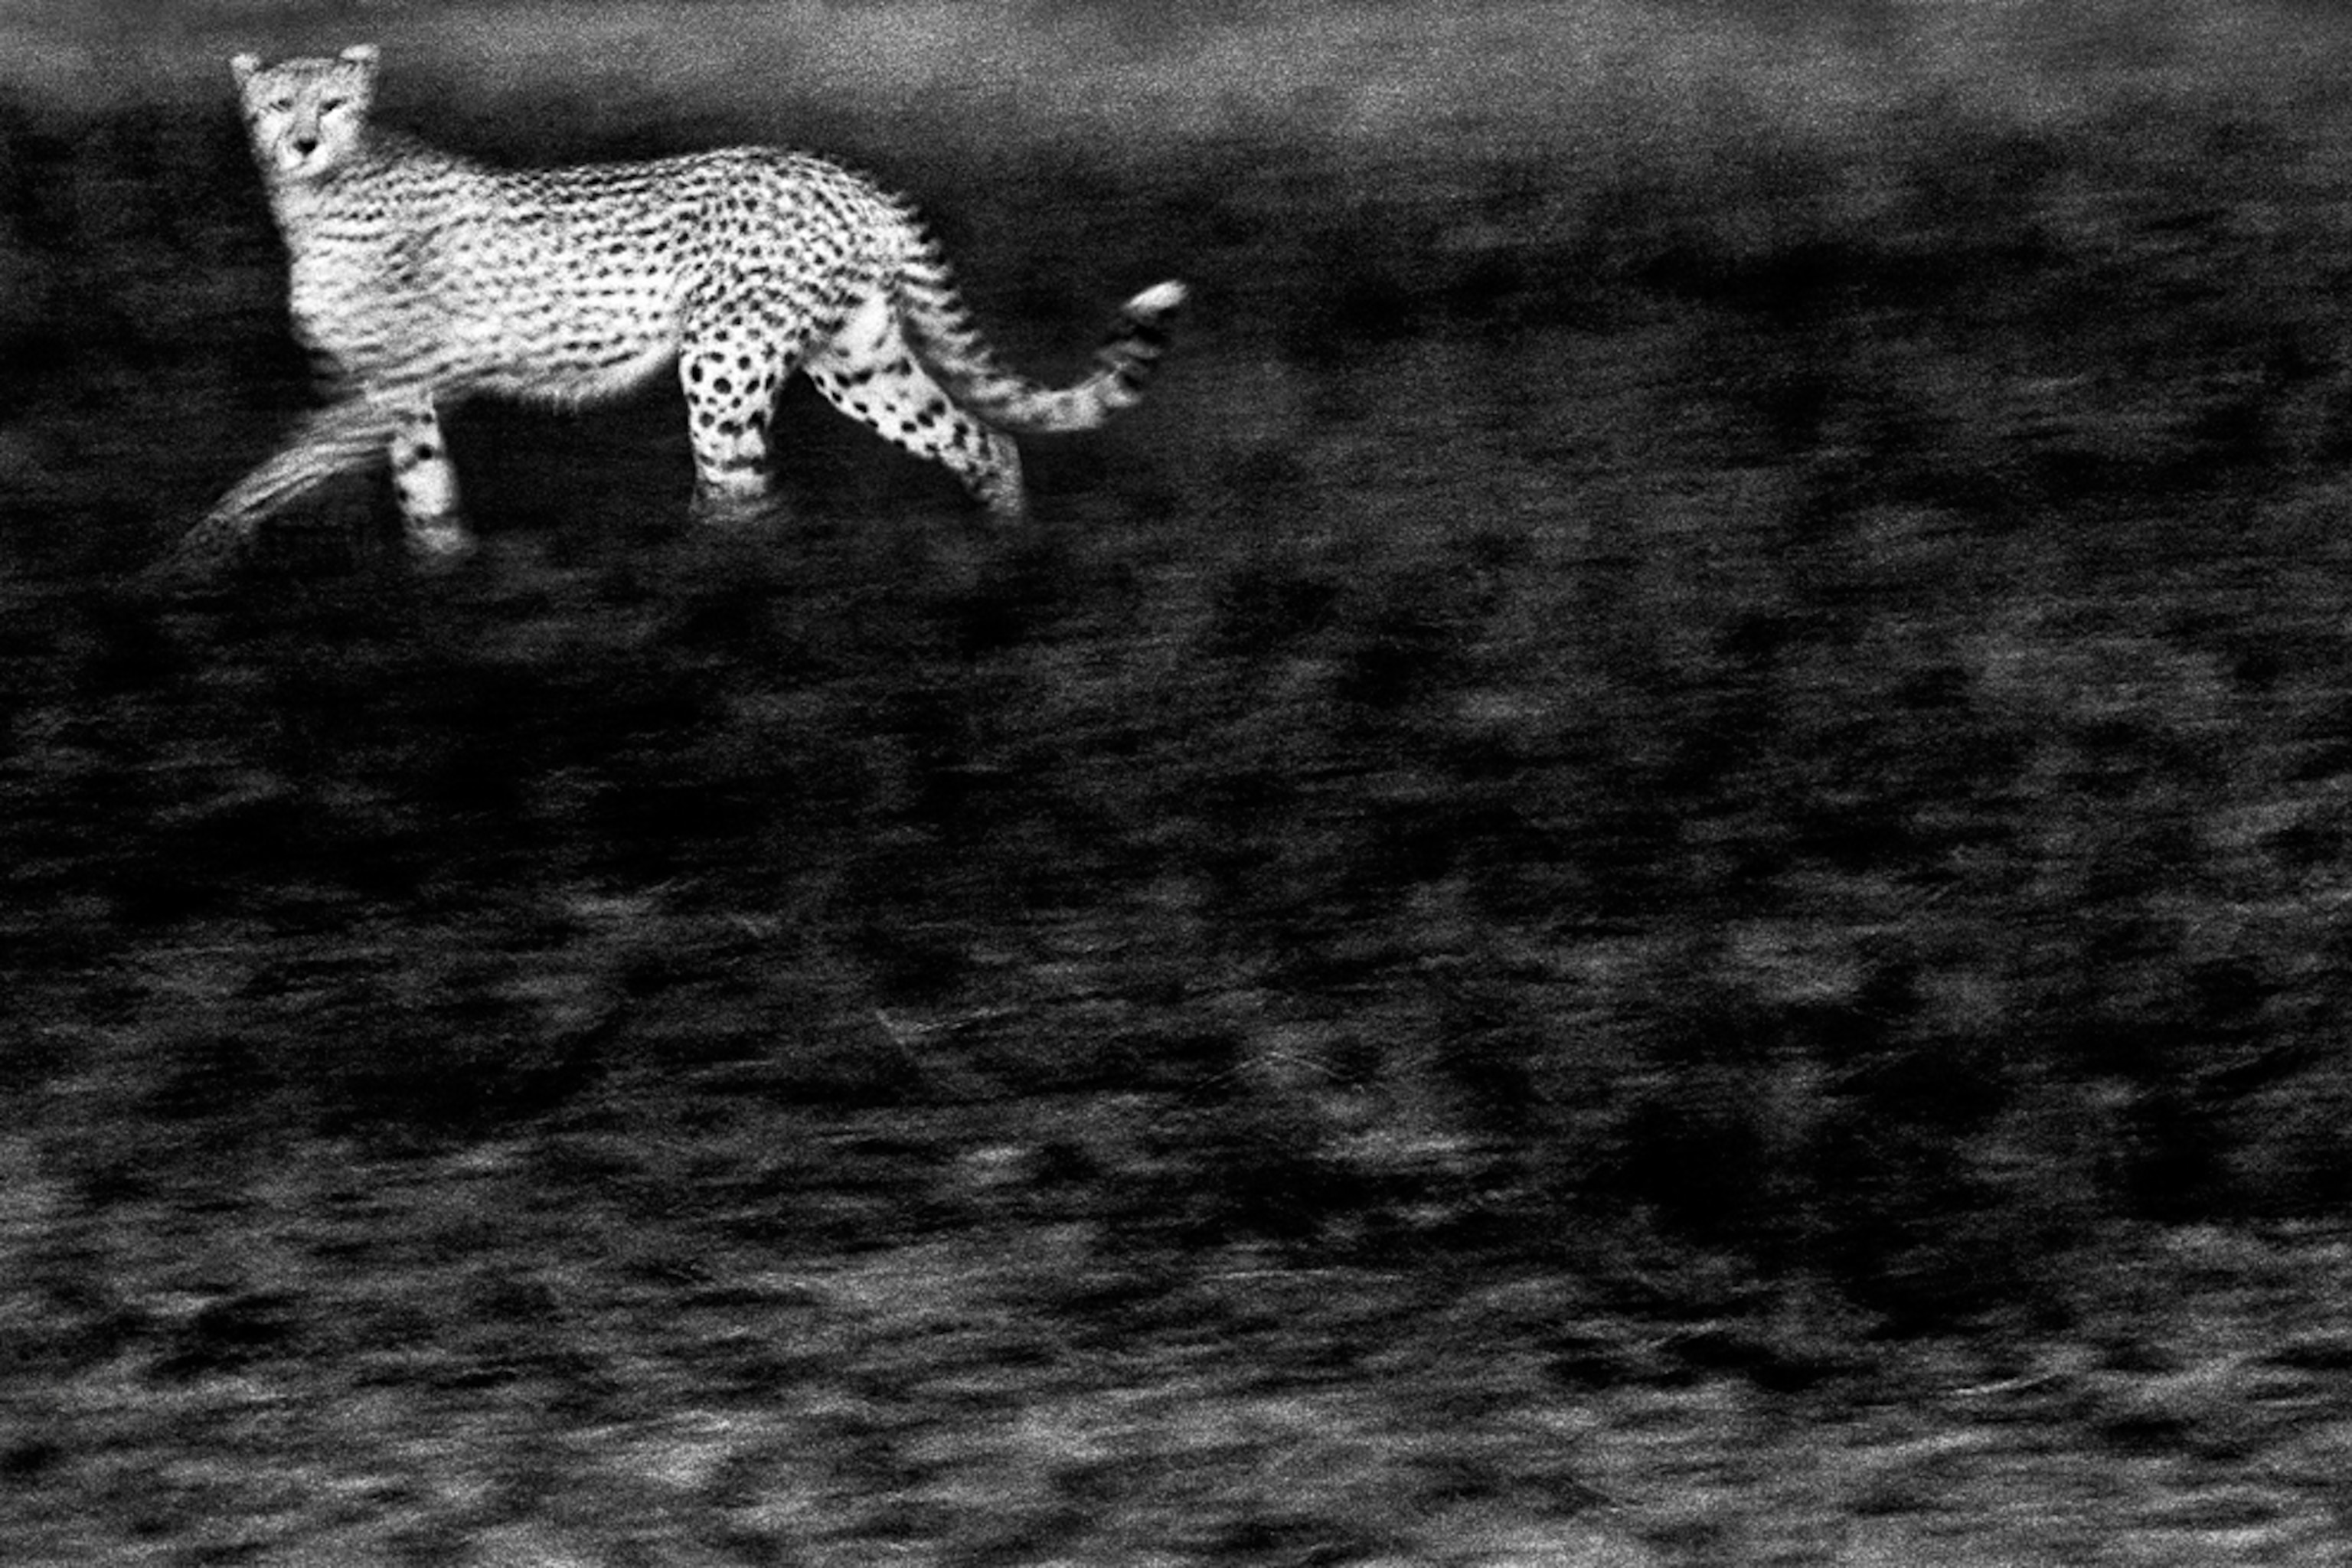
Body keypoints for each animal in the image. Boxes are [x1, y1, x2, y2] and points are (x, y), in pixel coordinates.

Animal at [164, 44, 1184, 570]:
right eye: (279, 105)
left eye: (333, 104)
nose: (301, 142)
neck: (321, 193)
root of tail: (835, 170)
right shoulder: (401, 395)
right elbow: (424, 495)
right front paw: (447, 589)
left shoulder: (380, 388)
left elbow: (277, 467)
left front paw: (184, 561)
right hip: (857, 358)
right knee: (983, 441)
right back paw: (1005, 566)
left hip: (725, 360)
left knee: (742, 498)